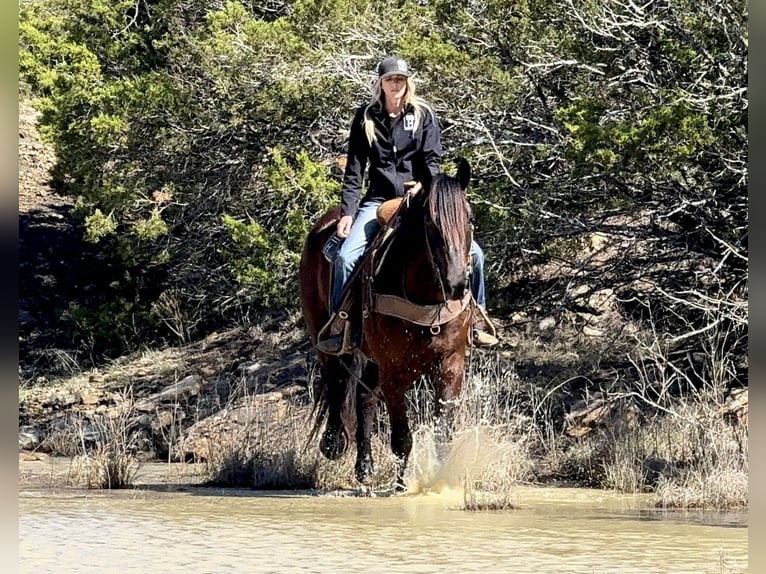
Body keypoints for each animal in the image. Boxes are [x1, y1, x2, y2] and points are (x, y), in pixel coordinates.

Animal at [299, 158, 475, 489]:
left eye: (469, 218)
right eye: (430, 223)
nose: (457, 284)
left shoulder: (451, 365)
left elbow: (443, 435)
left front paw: (440, 484)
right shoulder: (394, 371)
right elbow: (402, 438)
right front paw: (402, 487)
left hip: (370, 357)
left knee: (364, 397)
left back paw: (364, 467)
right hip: (324, 339)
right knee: (336, 383)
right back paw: (333, 443)